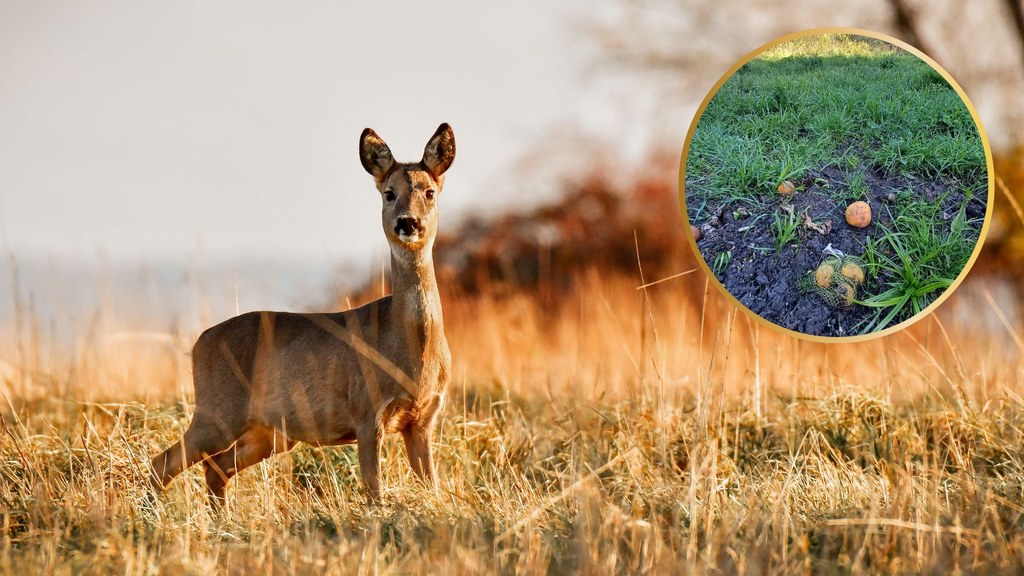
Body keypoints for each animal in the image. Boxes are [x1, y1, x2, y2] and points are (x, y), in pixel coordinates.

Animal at [149, 121, 454, 502]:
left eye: (430, 192)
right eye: (388, 193)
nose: (407, 223)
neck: (411, 350)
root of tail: (198, 343)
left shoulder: (423, 420)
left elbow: (433, 488)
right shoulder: (367, 411)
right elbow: (374, 490)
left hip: (269, 433)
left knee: (216, 467)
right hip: (217, 410)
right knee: (164, 462)